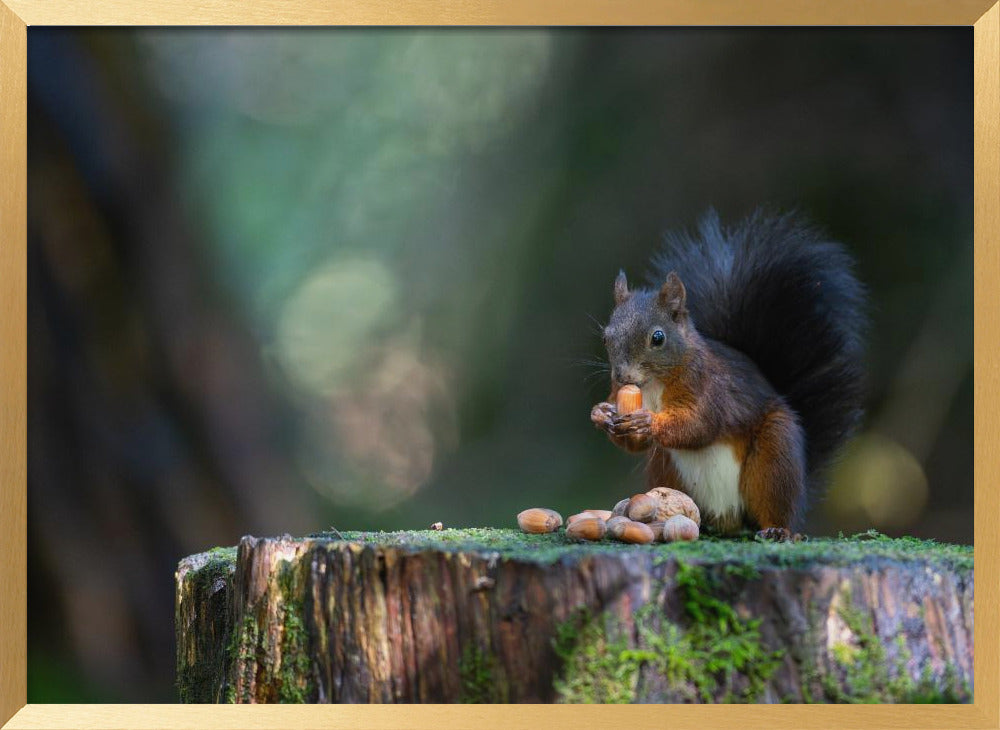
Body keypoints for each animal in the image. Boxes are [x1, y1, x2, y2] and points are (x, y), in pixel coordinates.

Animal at [590, 210, 866, 541]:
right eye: (606, 337)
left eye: (658, 338)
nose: (623, 376)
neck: (653, 386)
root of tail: (728, 520)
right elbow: (636, 444)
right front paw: (601, 413)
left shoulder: (708, 387)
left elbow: (700, 424)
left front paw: (648, 421)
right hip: (665, 466)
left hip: (774, 457)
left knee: (775, 503)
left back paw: (779, 530)